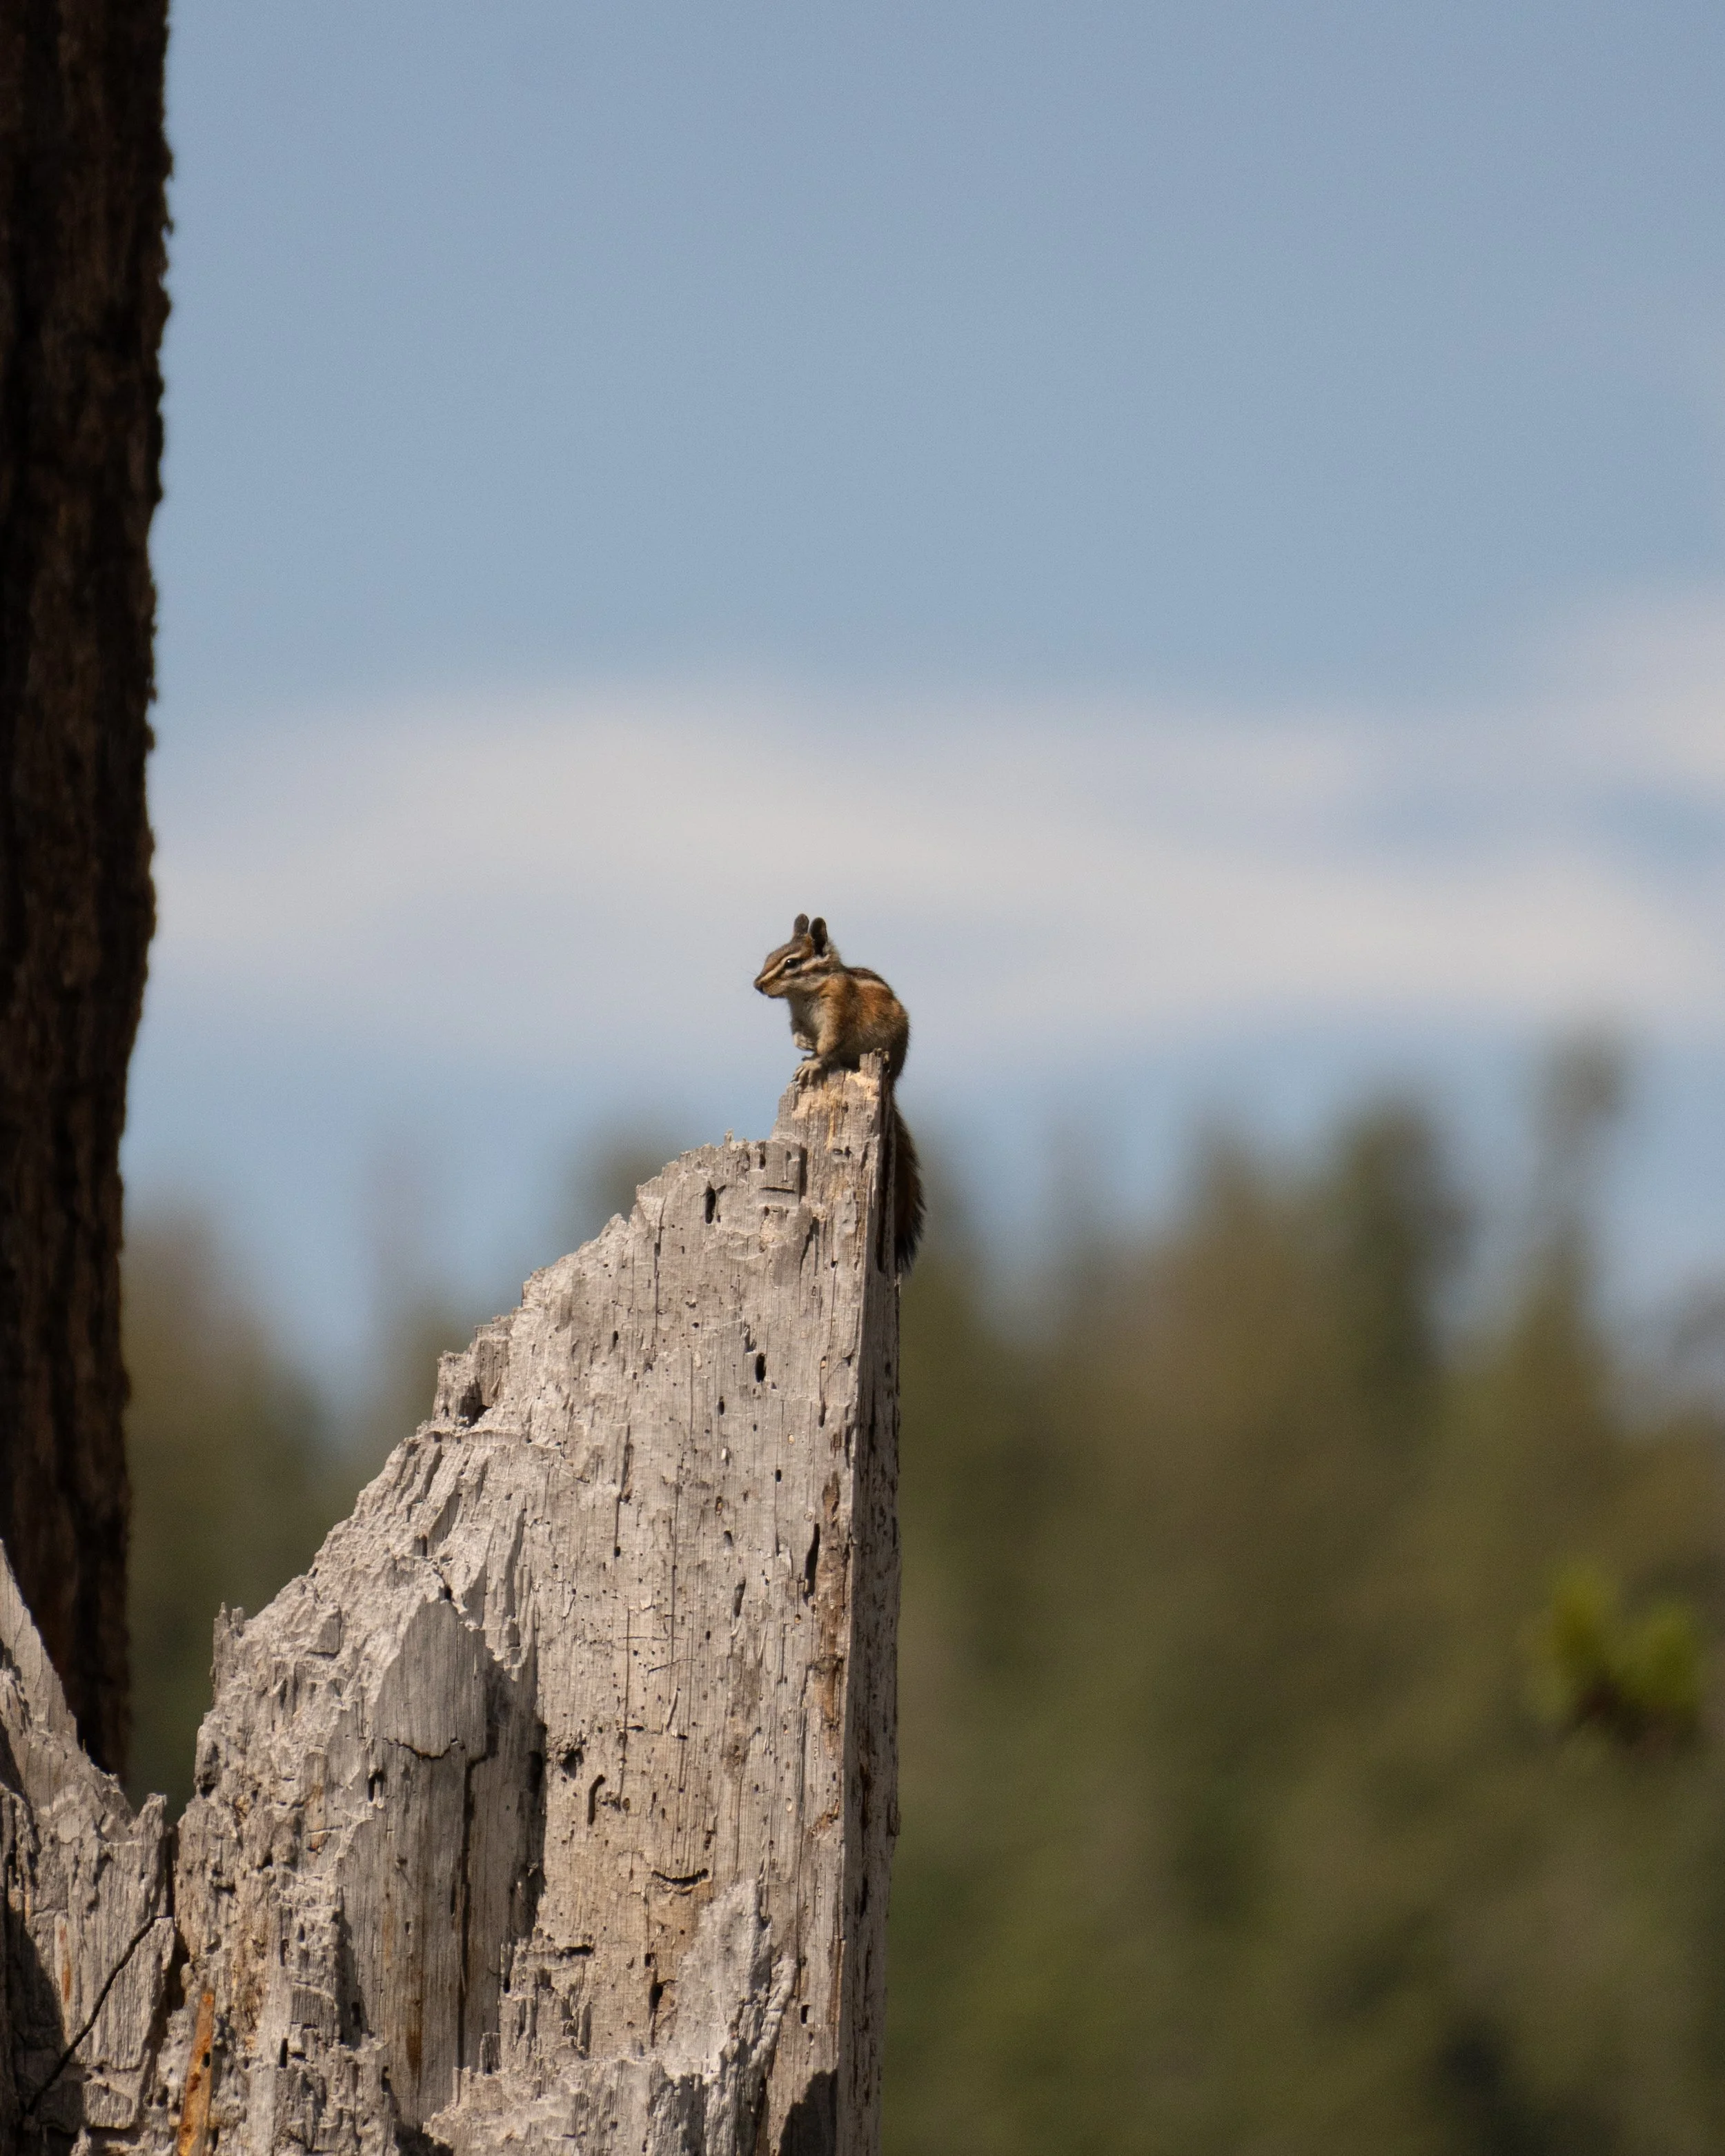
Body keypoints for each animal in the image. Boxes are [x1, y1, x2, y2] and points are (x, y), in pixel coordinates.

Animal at [754, 913, 926, 1276]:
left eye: (791, 963)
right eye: (770, 956)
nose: (758, 985)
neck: (805, 994)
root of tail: (893, 1084)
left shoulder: (838, 1012)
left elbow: (831, 1043)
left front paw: (813, 1062)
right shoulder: (797, 1018)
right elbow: (797, 1034)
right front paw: (804, 1045)